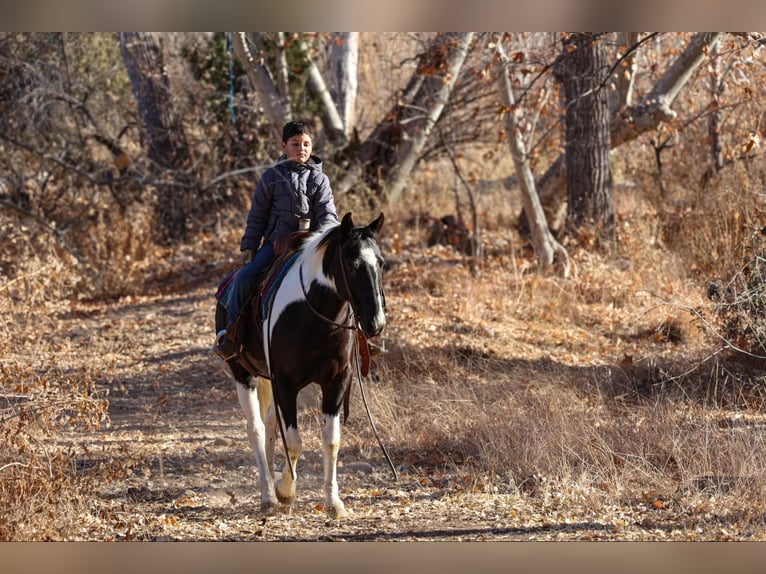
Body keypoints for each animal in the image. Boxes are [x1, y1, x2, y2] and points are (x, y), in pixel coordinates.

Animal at [215, 212, 386, 518]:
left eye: (380, 263)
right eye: (353, 264)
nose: (376, 323)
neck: (314, 315)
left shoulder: (336, 382)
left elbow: (331, 440)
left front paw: (333, 502)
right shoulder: (285, 382)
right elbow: (294, 441)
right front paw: (285, 491)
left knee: (270, 424)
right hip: (243, 374)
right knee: (257, 428)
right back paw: (268, 496)